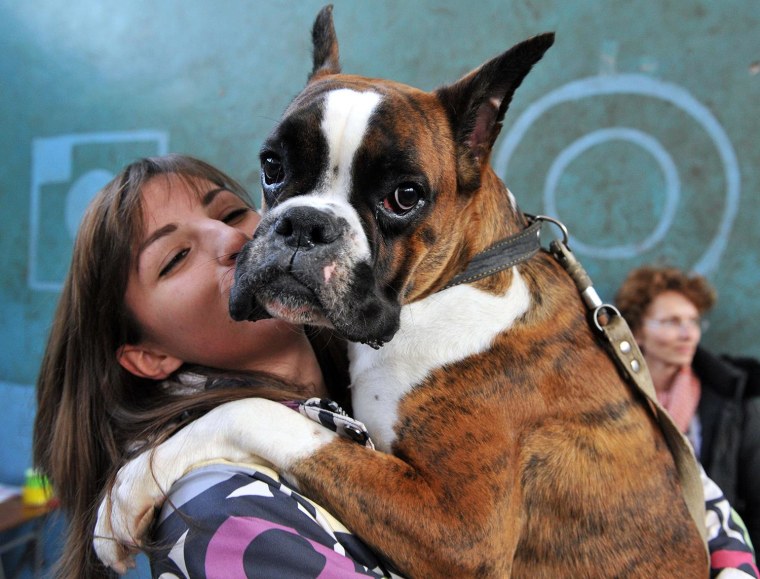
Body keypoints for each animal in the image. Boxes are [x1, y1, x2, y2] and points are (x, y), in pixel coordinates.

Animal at [95, 5, 708, 579]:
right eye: (272, 166)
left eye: (404, 196)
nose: (304, 226)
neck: (452, 284)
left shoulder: (461, 532)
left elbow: (260, 414)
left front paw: (126, 491)